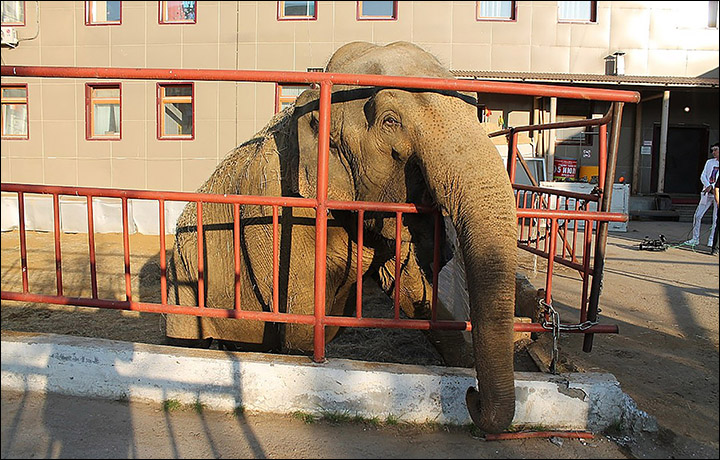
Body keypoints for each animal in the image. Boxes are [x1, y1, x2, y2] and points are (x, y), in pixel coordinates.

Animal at [167, 41, 520, 434]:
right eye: (390, 121)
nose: (472, 395)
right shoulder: (283, 216)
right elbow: (299, 328)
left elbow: (414, 294)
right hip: (183, 282)